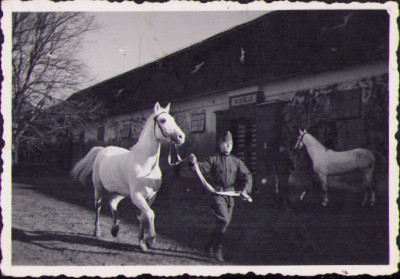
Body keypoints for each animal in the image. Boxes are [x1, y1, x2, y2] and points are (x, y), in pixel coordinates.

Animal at [70, 103, 186, 252]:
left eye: (173, 119)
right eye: (163, 120)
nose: (181, 137)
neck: (144, 164)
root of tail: (102, 150)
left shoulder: (150, 197)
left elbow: (143, 216)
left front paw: (142, 242)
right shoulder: (137, 196)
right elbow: (150, 214)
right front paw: (150, 239)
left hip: (120, 193)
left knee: (112, 203)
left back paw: (115, 229)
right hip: (98, 189)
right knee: (98, 207)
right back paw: (97, 231)